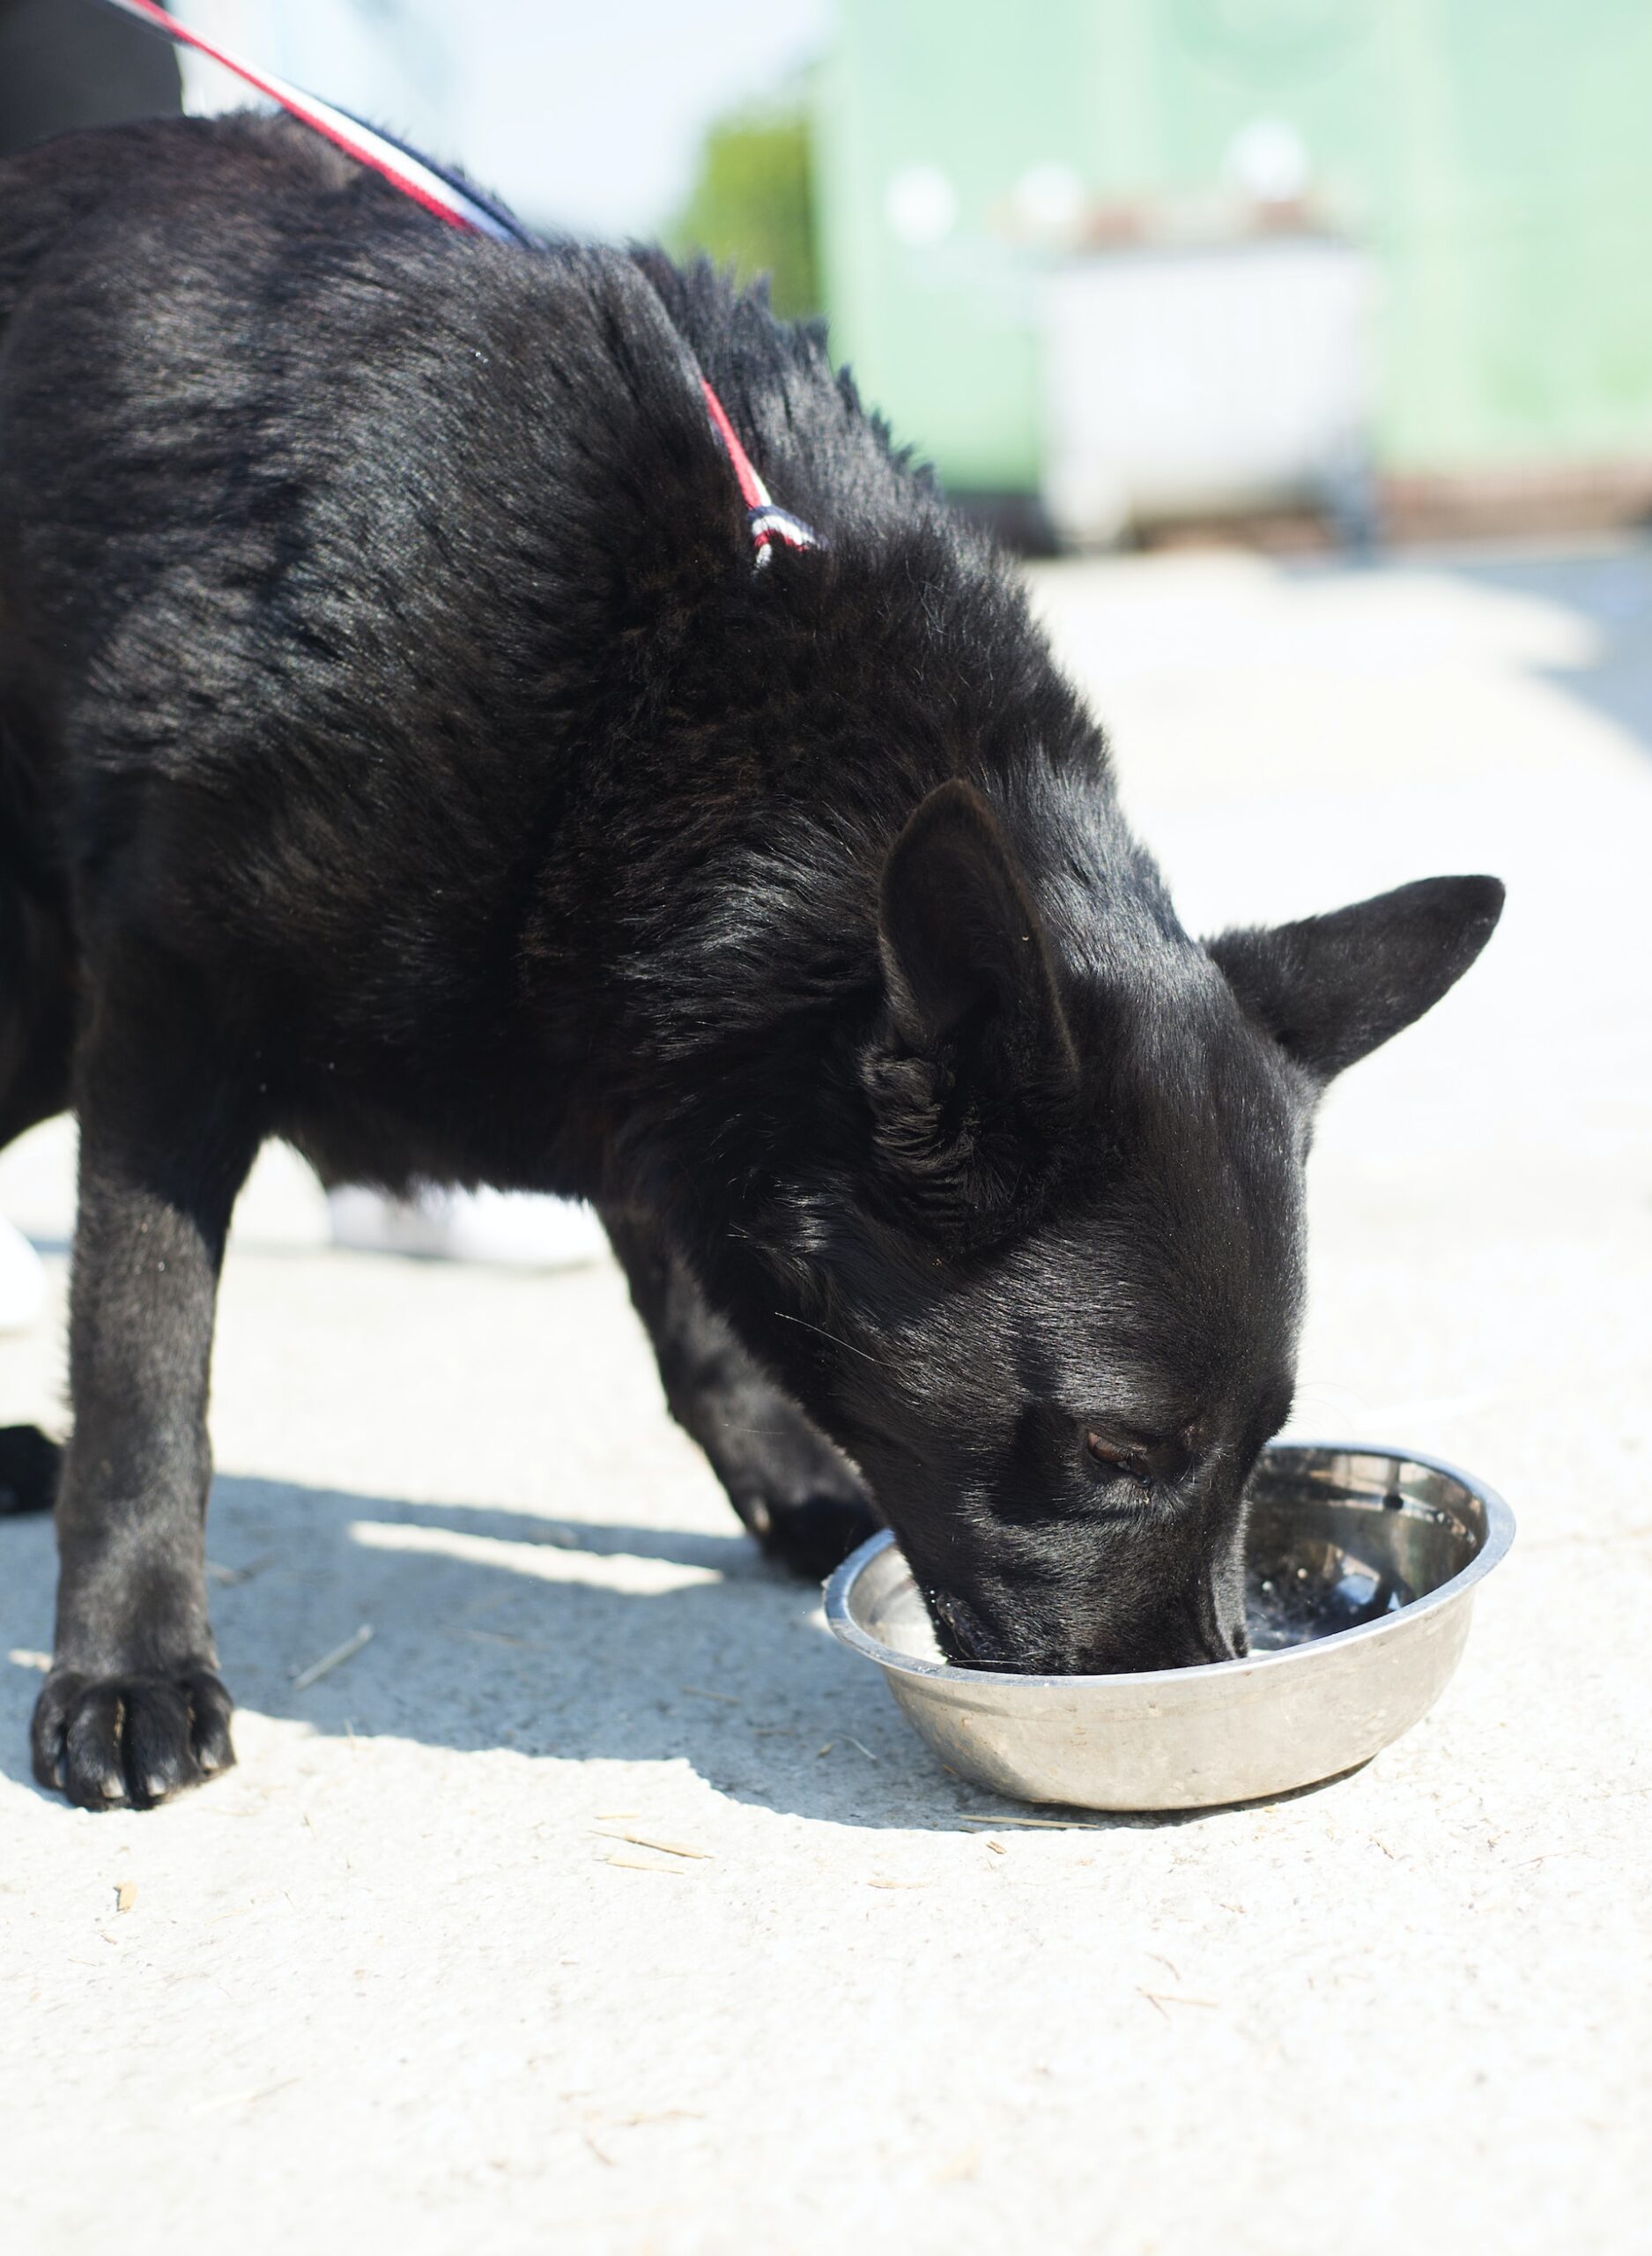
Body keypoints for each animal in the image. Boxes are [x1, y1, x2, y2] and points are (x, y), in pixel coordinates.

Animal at [0, 119, 1498, 1814]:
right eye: (1117, 1452)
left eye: (1264, 1443)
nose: (1199, 1693)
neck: (649, 708)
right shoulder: (169, 1024)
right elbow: (144, 1367)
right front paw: (125, 1665)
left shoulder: (638, 1053)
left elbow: (697, 1293)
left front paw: (786, 1476)